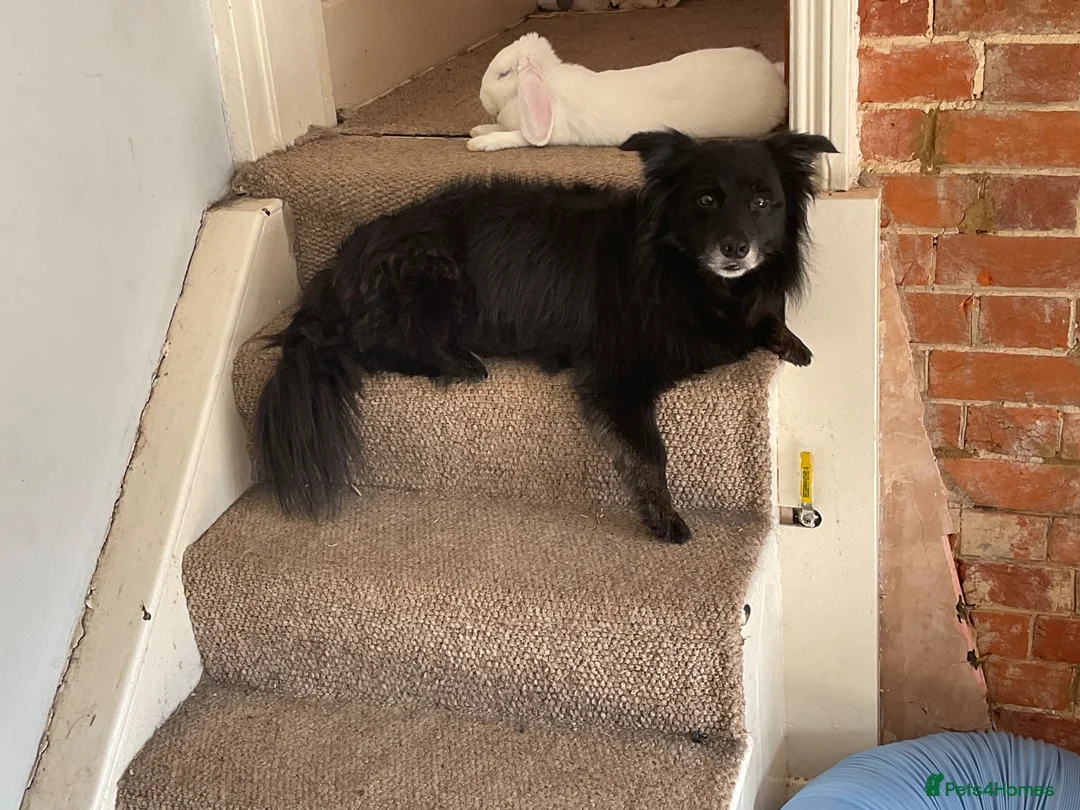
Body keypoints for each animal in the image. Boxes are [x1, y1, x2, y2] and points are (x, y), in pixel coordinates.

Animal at [467, 33, 786, 152]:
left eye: (503, 74)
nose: (481, 96)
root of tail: (776, 81)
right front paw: (476, 130)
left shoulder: (549, 131)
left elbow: (514, 137)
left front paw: (479, 143)